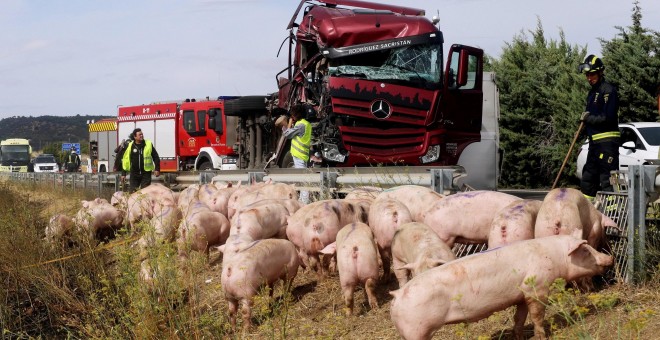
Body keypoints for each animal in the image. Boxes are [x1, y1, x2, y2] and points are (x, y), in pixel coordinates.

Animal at [392, 235, 612, 340]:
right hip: (416, 330)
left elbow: (520, 317)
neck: (554, 255)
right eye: (585, 250)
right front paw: (542, 336)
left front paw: (518, 336)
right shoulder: (537, 288)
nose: (610, 258)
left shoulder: (521, 294)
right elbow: (537, 315)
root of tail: (398, 294)